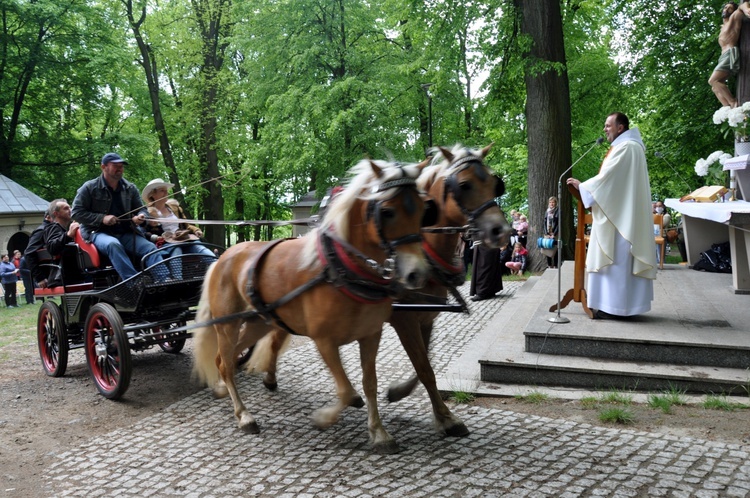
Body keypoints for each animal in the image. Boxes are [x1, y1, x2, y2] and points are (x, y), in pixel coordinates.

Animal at [191, 160, 432, 456]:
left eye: (422, 209)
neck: (341, 269)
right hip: (227, 324)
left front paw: (379, 433)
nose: (416, 274)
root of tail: (222, 257)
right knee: (225, 362)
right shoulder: (324, 340)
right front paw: (324, 418)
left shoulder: (371, 335)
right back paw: (244, 415)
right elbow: (347, 392)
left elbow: (369, 384)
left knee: (225, 359)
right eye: (387, 211)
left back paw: (223, 389)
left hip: (258, 322)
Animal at [250, 145, 516, 440]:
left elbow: (425, 365)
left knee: (277, 333)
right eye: (465, 184)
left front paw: (405, 395)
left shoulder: (426, 317)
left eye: (494, 183)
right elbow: (425, 368)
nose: (500, 231)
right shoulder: (404, 319)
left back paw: (271, 376)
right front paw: (444, 417)